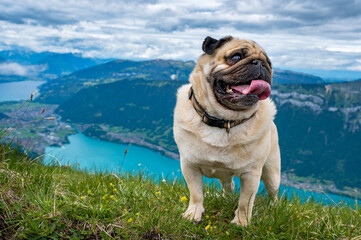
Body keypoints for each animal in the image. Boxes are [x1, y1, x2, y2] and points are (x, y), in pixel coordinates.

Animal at [173, 36, 280, 227]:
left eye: (269, 63)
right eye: (236, 57)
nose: (260, 63)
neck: (224, 121)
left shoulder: (251, 174)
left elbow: (245, 202)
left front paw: (241, 223)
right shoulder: (189, 165)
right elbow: (196, 194)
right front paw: (193, 214)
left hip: (272, 172)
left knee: (273, 193)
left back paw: (273, 209)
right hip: (224, 175)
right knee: (228, 186)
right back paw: (225, 198)